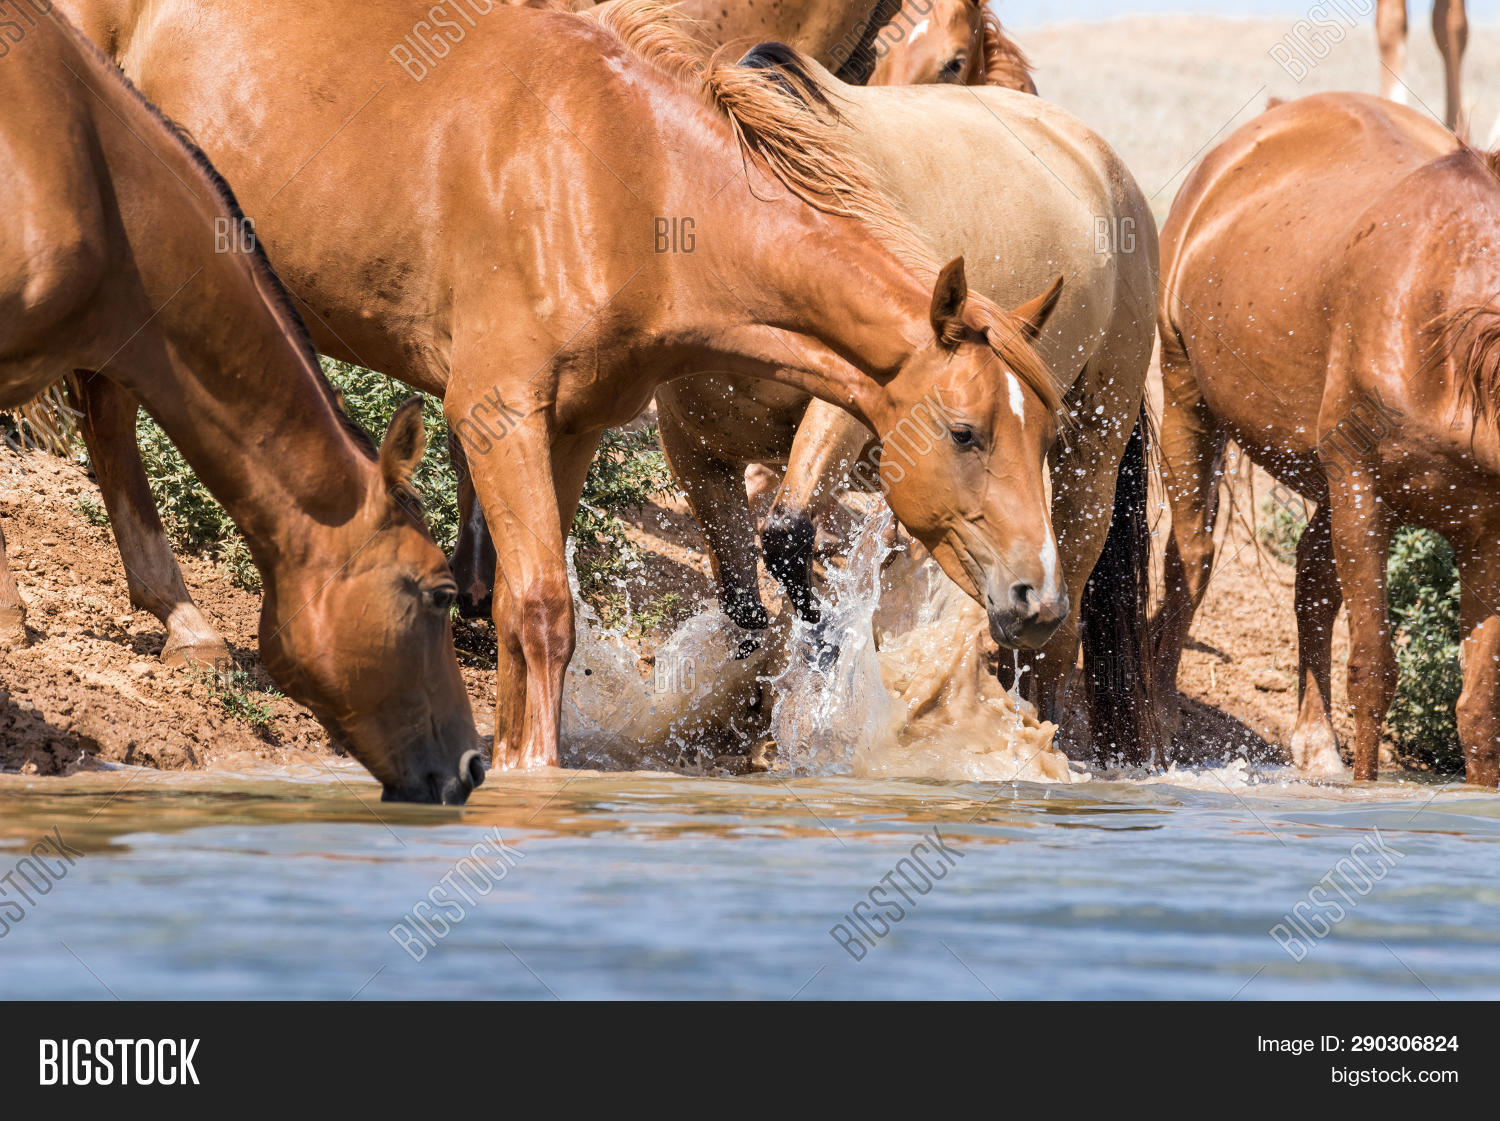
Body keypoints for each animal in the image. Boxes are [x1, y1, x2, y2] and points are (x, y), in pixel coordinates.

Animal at [653, 48, 1161, 762]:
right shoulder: (694, 453)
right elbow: (743, 608)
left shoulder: (846, 411)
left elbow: (787, 535)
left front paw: (825, 686)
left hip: (1089, 464)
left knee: (1055, 642)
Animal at [1155, 91, 1500, 787]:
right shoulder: (1363, 491)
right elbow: (1373, 672)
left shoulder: (1485, 533)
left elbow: (1478, 709)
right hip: (1189, 403)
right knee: (1191, 555)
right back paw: (1151, 715)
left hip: (1322, 482)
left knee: (1311, 579)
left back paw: (1315, 746)